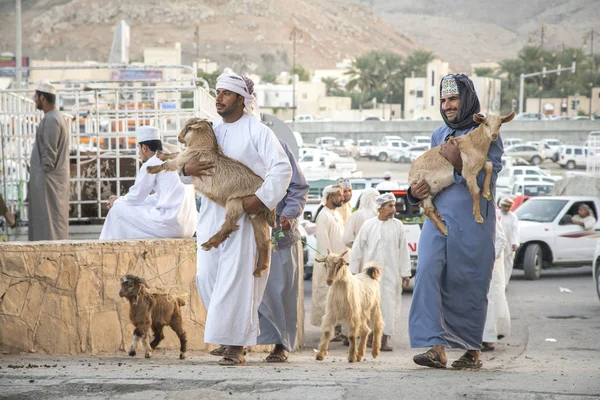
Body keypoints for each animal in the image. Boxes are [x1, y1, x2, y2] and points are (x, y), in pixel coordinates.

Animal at [146, 117, 276, 276]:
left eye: (188, 128)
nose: (178, 137)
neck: (205, 147)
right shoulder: (185, 157)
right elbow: (174, 153)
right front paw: (160, 154)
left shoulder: (183, 160)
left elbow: (169, 163)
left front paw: (151, 168)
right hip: (256, 216)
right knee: (263, 242)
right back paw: (259, 269)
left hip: (236, 202)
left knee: (229, 225)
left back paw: (209, 244)